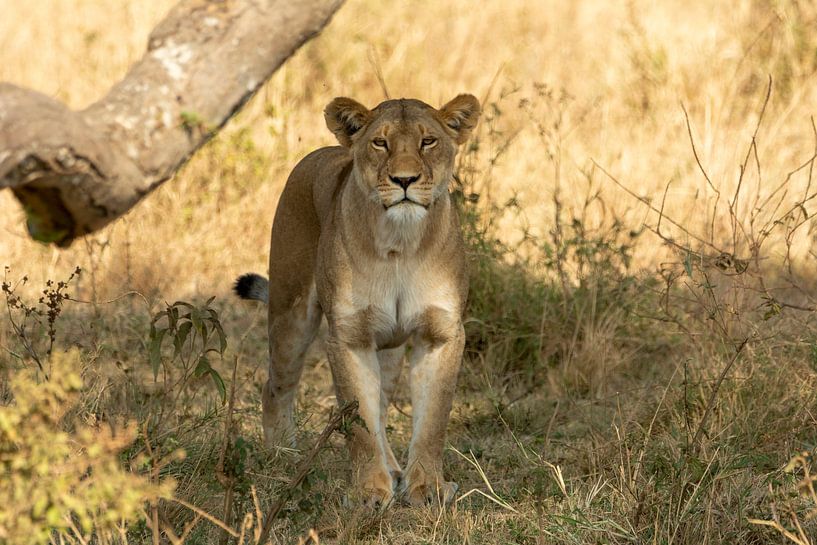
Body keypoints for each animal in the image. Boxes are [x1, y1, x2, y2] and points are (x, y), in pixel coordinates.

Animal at [234, 93, 481, 508]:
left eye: (427, 141)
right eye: (380, 143)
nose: (404, 180)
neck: (401, 243)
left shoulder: (440, 334)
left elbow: (431, 421)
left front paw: (426, 488)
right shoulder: (348, 336)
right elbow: (360, 422)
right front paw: (368, 493)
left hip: (390, 350)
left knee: (380, 407)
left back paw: (395, 470)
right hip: (291, 314)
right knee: (275, 385)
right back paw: (283, 456)